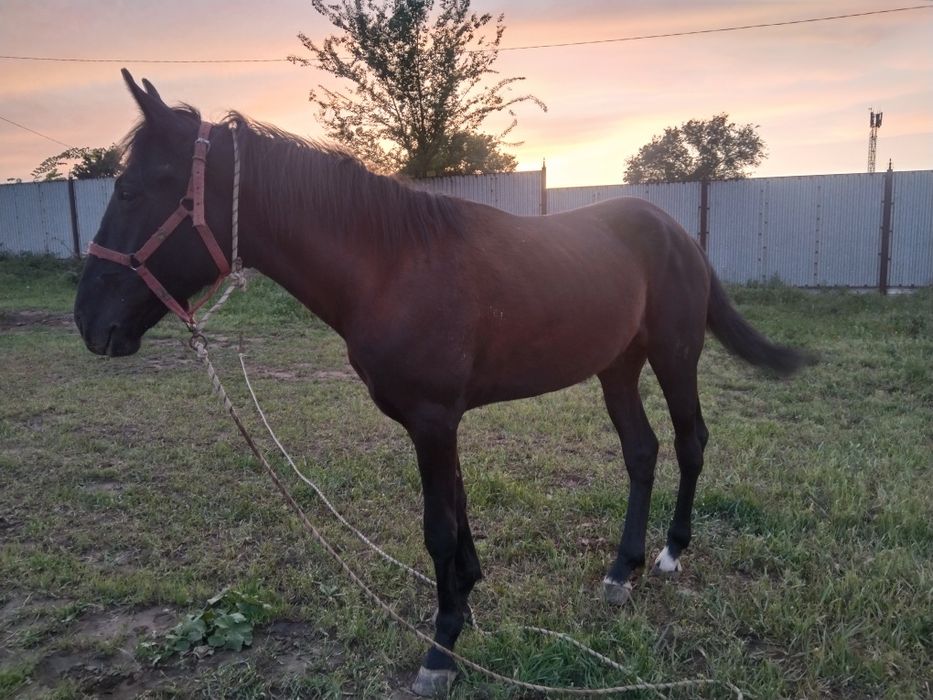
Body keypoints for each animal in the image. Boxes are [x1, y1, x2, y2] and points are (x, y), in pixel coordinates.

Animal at [74, 70, 807, 696]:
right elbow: (457, 516)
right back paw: (619, 571)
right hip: (616, 367)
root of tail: (678, 232)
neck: (390, 265)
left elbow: (437, 526)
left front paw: (441, 650)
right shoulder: (440, 420)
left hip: (674, 355)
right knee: (641, 452)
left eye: (134, 189)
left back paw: (668, 555)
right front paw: (467, 602)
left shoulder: (431, 419)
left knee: (689, 443)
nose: (89, 322)